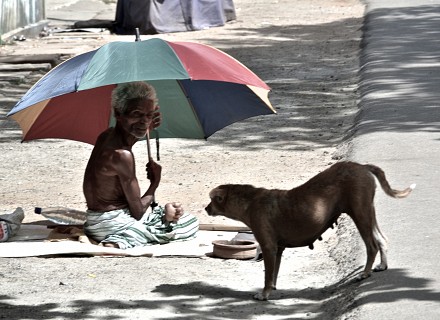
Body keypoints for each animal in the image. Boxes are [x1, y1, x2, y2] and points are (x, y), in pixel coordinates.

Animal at [205, 162, 414, 300]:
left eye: (212, 200)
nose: (206, 209)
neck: (249, 202)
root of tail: (361, 166)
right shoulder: (278, 249)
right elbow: (273, 272)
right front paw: (272, 288)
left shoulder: (268, 247)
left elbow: (267, 274)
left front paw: (264, 294)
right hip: (368, 213)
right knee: (382, 239)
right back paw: (382, 265)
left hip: (360, 215)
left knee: (372, 245)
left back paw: (365, 273)